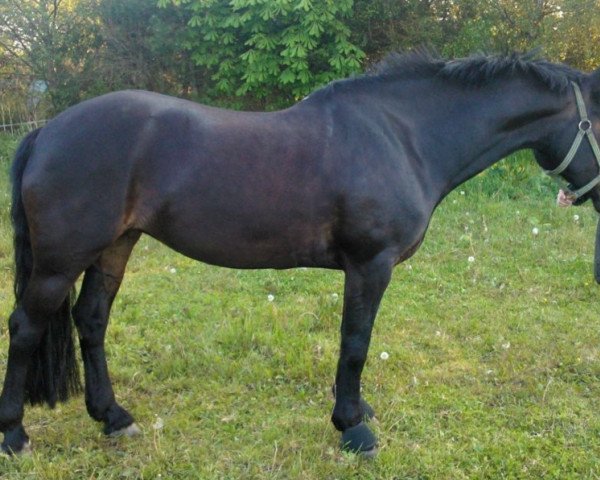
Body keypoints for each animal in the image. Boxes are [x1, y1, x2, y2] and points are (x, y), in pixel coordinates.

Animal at [1, 50, 600, 456]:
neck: (402, 137)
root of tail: (46, 132)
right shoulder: (369, 265)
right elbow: (355, 344)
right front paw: (353, 428)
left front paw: (356, 410)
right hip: (60, 261)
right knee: (26, 327)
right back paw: (15, 434)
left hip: (114, 247)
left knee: (91, 320)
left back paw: (112, 417)